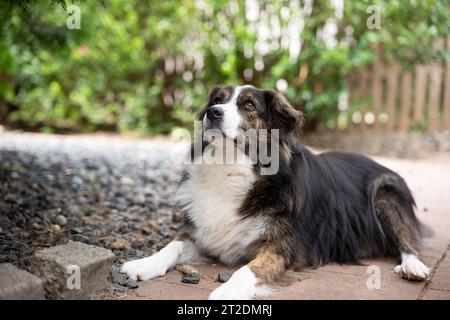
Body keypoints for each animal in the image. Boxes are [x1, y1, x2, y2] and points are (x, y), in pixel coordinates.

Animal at [121, 85, 430, 300]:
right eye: (217, 100)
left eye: (248, 104)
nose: (213, 113)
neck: (231, 167)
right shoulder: (202, 232)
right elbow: (171, 246)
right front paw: (142, 263)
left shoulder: (283, 249)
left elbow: (249, 268)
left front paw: (228, 290)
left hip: (384, 194)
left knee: (409, 241)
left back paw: (413, 267)